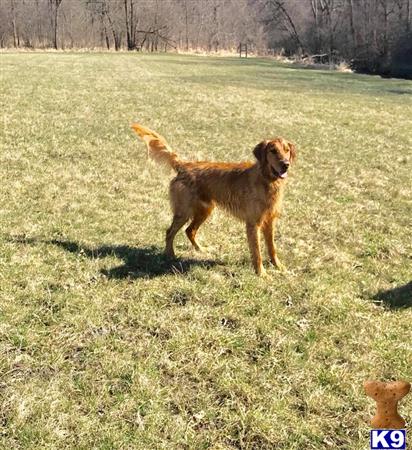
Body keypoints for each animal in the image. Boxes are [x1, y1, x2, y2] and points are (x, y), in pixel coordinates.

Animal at [130, 123, 294, 274]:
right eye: (273, 151)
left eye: (287, 150)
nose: (286, 164)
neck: (266, 180)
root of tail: (184, 165)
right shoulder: (253, 224)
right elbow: (257, 253)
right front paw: (262, 274)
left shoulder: (269, 221)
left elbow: (272, 248)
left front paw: (278, 266)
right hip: (184, 212)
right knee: (169, 232)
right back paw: (170, 255)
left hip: (205, 210)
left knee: (189, 230)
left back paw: (201, 250)